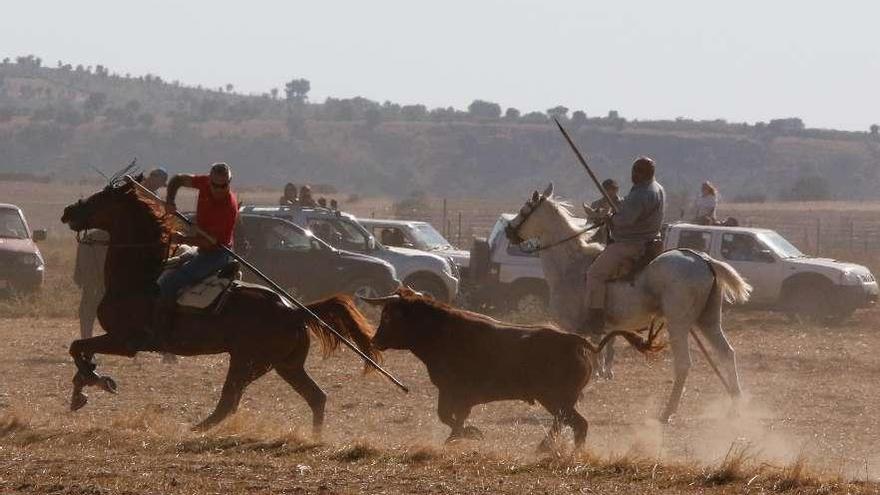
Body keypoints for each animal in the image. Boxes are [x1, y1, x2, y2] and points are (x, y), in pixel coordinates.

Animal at [60, 178, 380, 434]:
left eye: (100, 198)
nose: (68, 212)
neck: (139, 277)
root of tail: (294, 310)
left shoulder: (125, 341)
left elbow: (77, 346)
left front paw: (95, 382)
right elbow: (81, 350)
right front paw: (84, 387)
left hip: (246, 361)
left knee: (229, 401)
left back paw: (193, 429)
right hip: (285, 365)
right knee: (316, 397)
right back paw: (315, 437)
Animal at [362, 288, 660, 452]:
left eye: (389, 315)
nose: (375, 340)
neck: (441, 331)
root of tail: (576, 340)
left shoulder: (453, 392)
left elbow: (449, 417)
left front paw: (466, 435)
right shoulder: (457, 396)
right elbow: (452, 418)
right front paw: (463, 435)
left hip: (555, 398)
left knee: (576, 423)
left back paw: (554, 450)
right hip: (560, 400)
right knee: (568, 423)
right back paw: (550, 448)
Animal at [506, 184, 752, 420]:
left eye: (525, 209)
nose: (508, 230)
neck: (571, 266)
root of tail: (704, 260)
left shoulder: (576, 329)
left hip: (678, 324)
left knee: (684, 363)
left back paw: (668, 412)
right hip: (708, 321)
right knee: (727, 353)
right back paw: (735, 406)